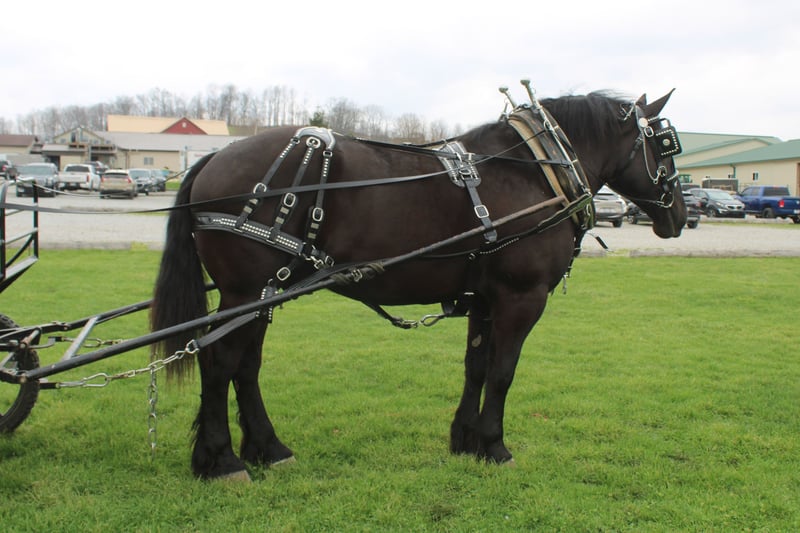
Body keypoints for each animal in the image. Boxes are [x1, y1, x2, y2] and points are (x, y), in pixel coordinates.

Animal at [151, 87, 687, 480]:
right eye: (666, 144)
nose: (679, 217)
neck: (535, 172)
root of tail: (214, 158)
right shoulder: (521, 297)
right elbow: (503, 372)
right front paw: (495, 446)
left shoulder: (484, 300)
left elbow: (476, 367)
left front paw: (465, 439)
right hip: (245, 292)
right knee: (220, 363)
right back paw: (221, 460)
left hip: (264, 292)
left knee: (246, 365)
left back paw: (268, 447)